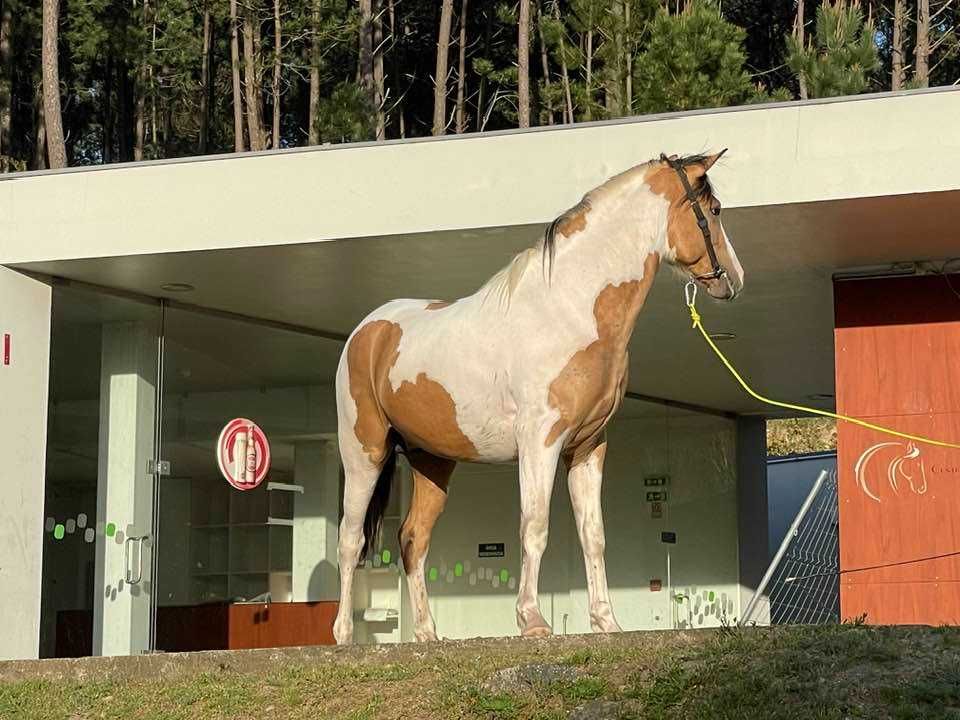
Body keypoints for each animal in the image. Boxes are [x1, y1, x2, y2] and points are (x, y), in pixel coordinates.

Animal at [334, 150, 748, 640]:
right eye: (715, 210)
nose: (735, 279)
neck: (569, 309)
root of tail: (367, 331)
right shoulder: (540, 441)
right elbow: (535, 526)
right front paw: (531, 620)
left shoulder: (588, 447)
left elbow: (593, 535)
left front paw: (606, 621)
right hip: (363, 452)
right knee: (350, 539)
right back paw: (343, 635)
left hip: (432, 460)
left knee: (413, 539)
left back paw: (428, 636)